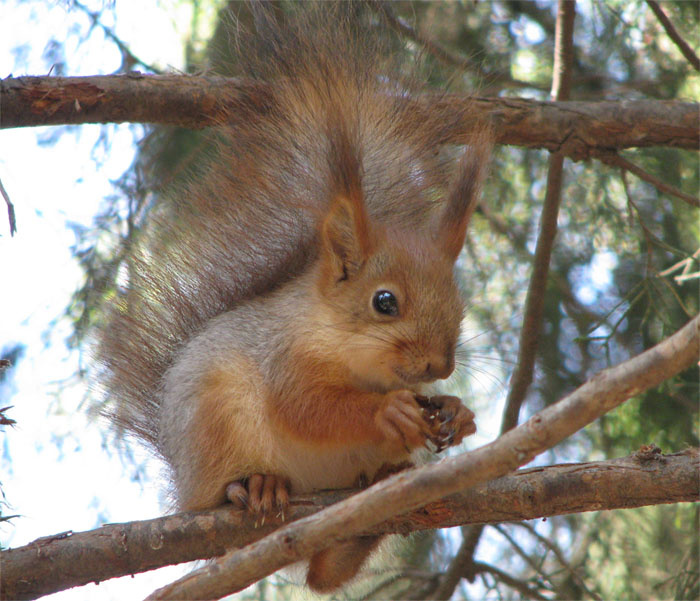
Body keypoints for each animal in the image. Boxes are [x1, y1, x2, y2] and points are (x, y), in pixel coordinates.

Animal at [96, 2, 491, 594]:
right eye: (384, 302)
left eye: (459, 306)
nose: (439, 367)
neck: (352, 354)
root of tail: (182, 481)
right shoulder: (282, 355)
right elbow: (306, 408)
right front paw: (388, 412)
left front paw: (456, 412)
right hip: (215, 423)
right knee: (233, 498)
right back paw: (255, 486)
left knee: (326, 574)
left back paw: (380, 495)